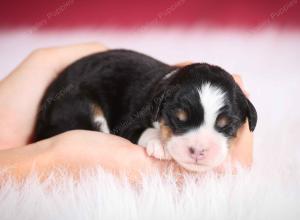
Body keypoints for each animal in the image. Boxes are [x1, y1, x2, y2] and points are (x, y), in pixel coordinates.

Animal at [33, 49, 258, 172]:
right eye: (178, 119)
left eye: (227, 126)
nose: (198, 151)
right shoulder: (128, 123)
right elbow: (141, 131)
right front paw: (159, 143)